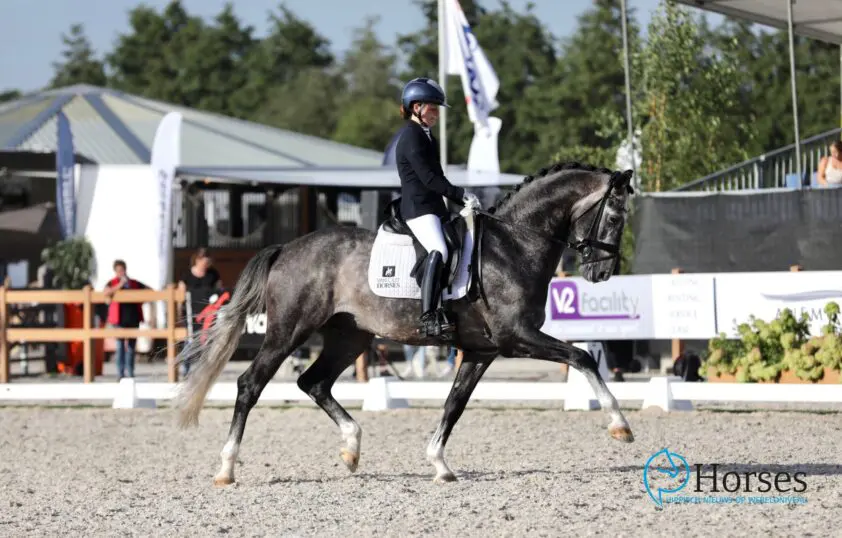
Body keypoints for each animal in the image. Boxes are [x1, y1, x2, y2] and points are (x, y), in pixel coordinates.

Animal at [173, 161, 636, 486]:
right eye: (615, 218)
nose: (601, 274)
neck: (513, 244)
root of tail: (287, 248)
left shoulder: (483, 350)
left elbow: (454, 405)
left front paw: (440, 465)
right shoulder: (516, 338)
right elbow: (582, 357)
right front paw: (621, 426)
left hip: (350, 337)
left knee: (314, 382)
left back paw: (352, 447)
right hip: (288, 331)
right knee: (250, 384)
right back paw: (226, 469)